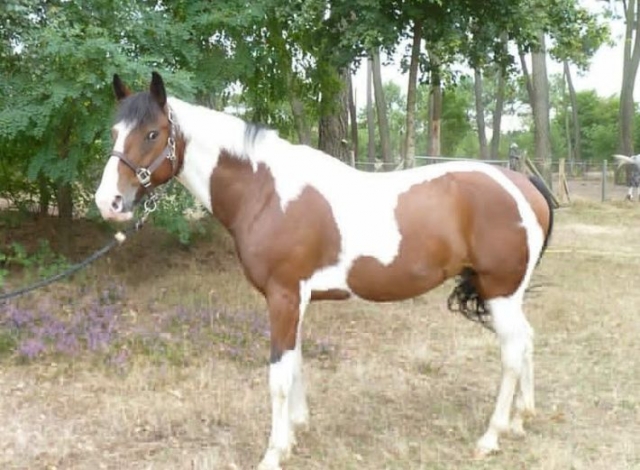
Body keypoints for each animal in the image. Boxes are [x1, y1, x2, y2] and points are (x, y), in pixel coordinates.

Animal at [95, 72, 554, 469]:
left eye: (152, 134)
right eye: (114, 133)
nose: (108, 201)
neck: (266, 191)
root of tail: (524, 184)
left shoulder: (284, 296)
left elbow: (279, 374)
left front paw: (274, 453)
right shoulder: (294, 299)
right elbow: (295, 362)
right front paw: (295, 433)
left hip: (500, 291)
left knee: (512, 352)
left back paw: (491, 436)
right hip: (507, 295)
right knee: (527, 342)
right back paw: (520, 420)